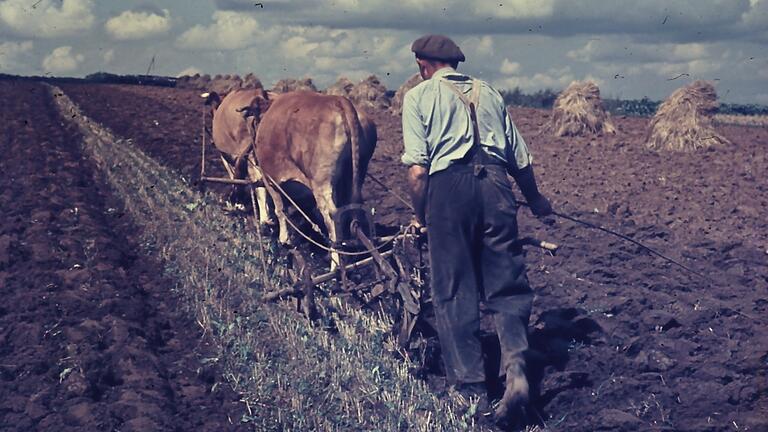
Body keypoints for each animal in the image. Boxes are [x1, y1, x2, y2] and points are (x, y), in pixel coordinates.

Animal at [254, 92, 376, 266]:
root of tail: (339, 100)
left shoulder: (271, 179)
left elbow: (280, 210)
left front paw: (284, 239)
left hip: (321, 183)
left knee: (332, 216)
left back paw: (335, 263)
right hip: (355, 175)